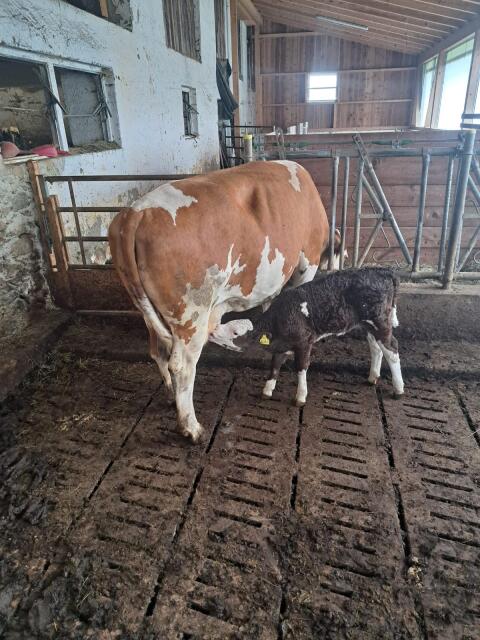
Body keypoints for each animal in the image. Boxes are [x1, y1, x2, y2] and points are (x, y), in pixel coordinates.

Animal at [108, 160, 334, 442]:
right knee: (182, 366)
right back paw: (191, 427)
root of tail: (135, 213)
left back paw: (171, 398)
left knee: (158, 352)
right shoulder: (307, 264)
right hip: (192, 313)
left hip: (149, 310)